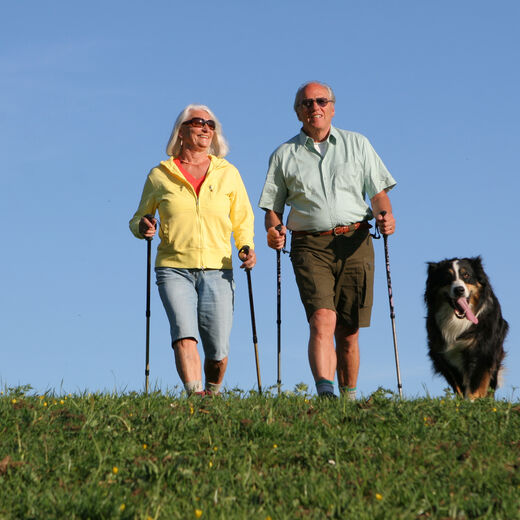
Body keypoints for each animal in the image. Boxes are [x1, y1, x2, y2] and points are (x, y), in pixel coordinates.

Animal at [424, 256, 506, 398]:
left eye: (466, 275)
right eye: (447, 277)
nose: (459, 290)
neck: (457, 320)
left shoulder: (482, 349)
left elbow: (476, 384)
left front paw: (473, 401)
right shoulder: (444, 355)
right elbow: (458, 385)